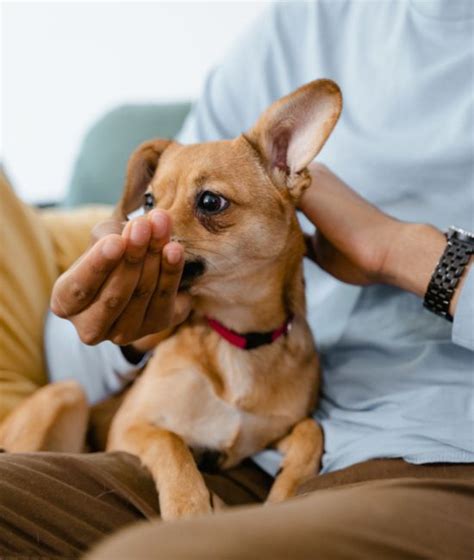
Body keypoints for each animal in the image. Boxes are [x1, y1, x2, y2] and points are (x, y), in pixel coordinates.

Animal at [0, 79, 340, 520]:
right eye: (148, 201)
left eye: (210, 201)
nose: (139, 225)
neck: (236, 337)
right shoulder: (130, 427)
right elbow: (172, 444)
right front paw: (189, 508)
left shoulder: (266, 435)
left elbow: (310, 430)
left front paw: (286, 491)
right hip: (67, 393)